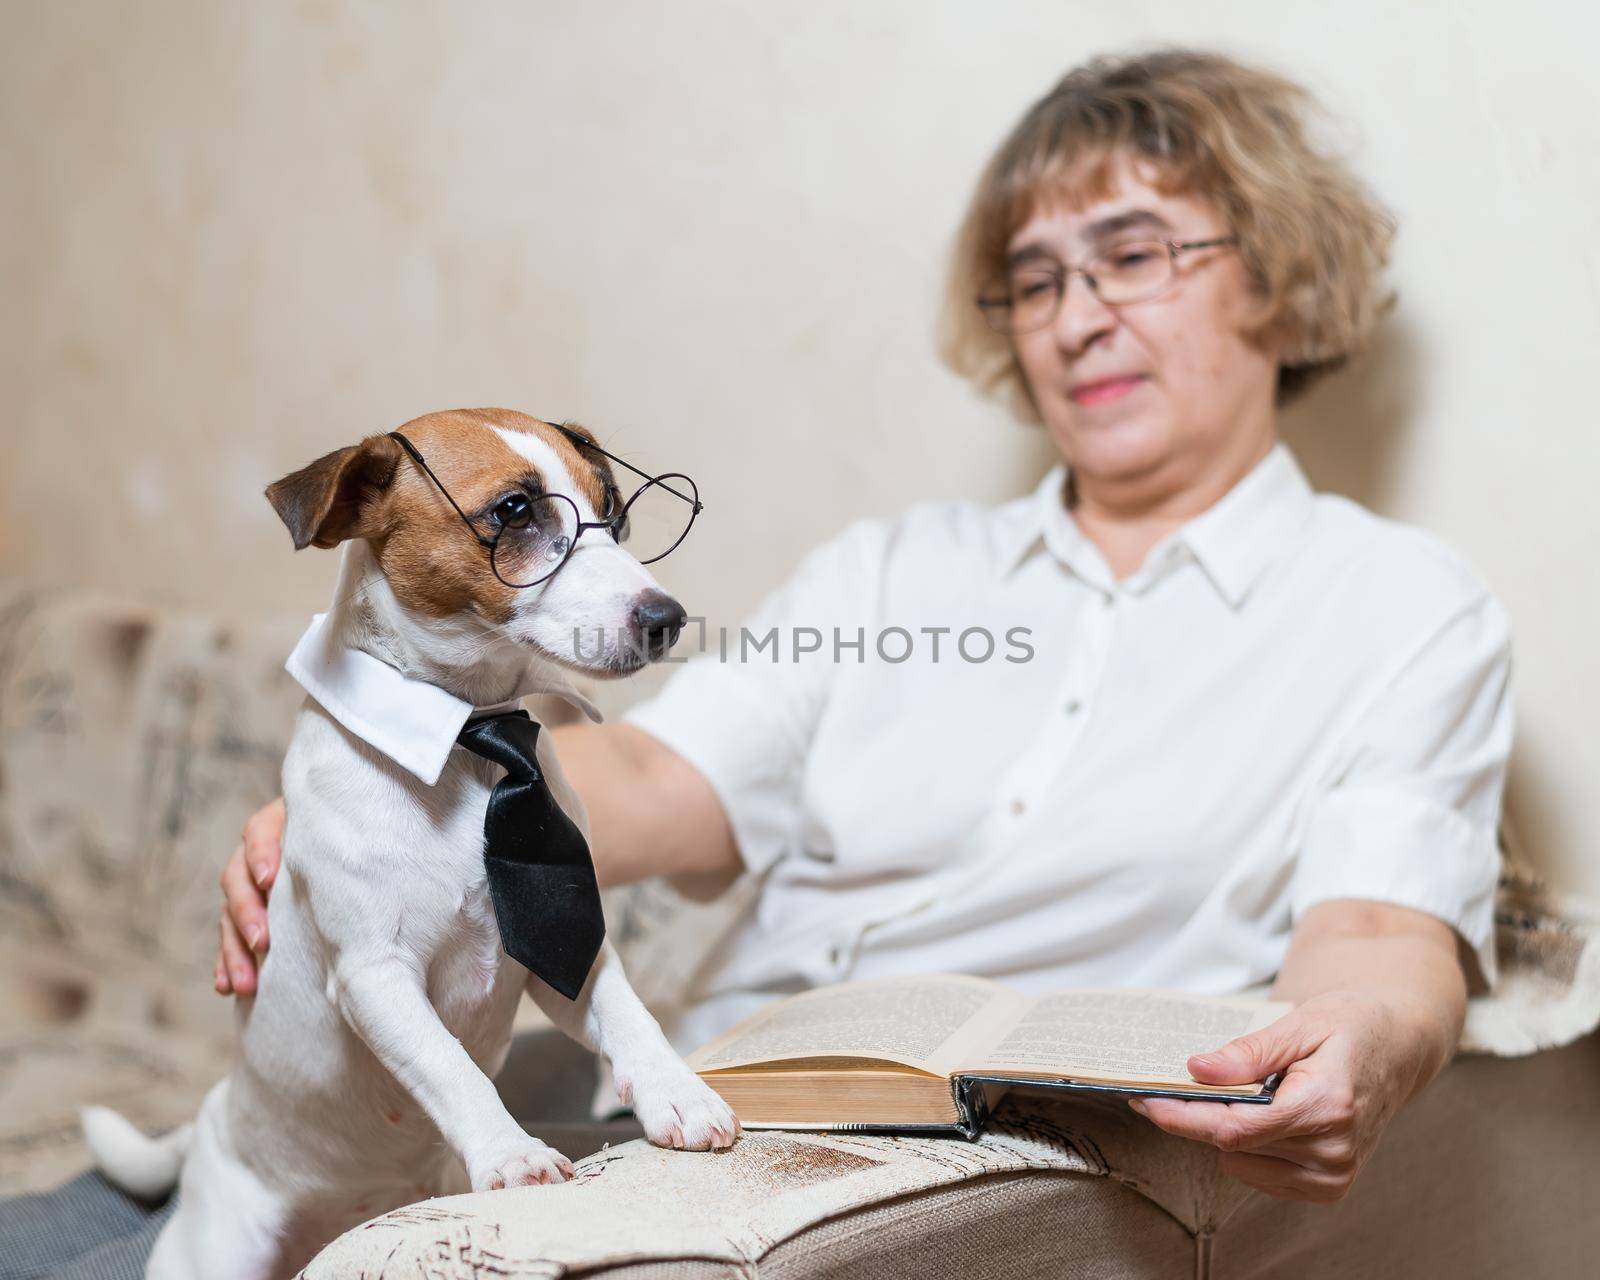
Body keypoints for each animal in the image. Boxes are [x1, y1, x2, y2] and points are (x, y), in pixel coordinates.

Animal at [79, 409, 736, 1280]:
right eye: (515, 512)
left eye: (615, 514)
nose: (665, 618)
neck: (473, 739)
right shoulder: (376, 976)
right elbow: (449, 1066)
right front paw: (510, 1154)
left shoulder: (565, 944)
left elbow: (629, 1017)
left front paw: (677, 1093)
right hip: (217, 1252)